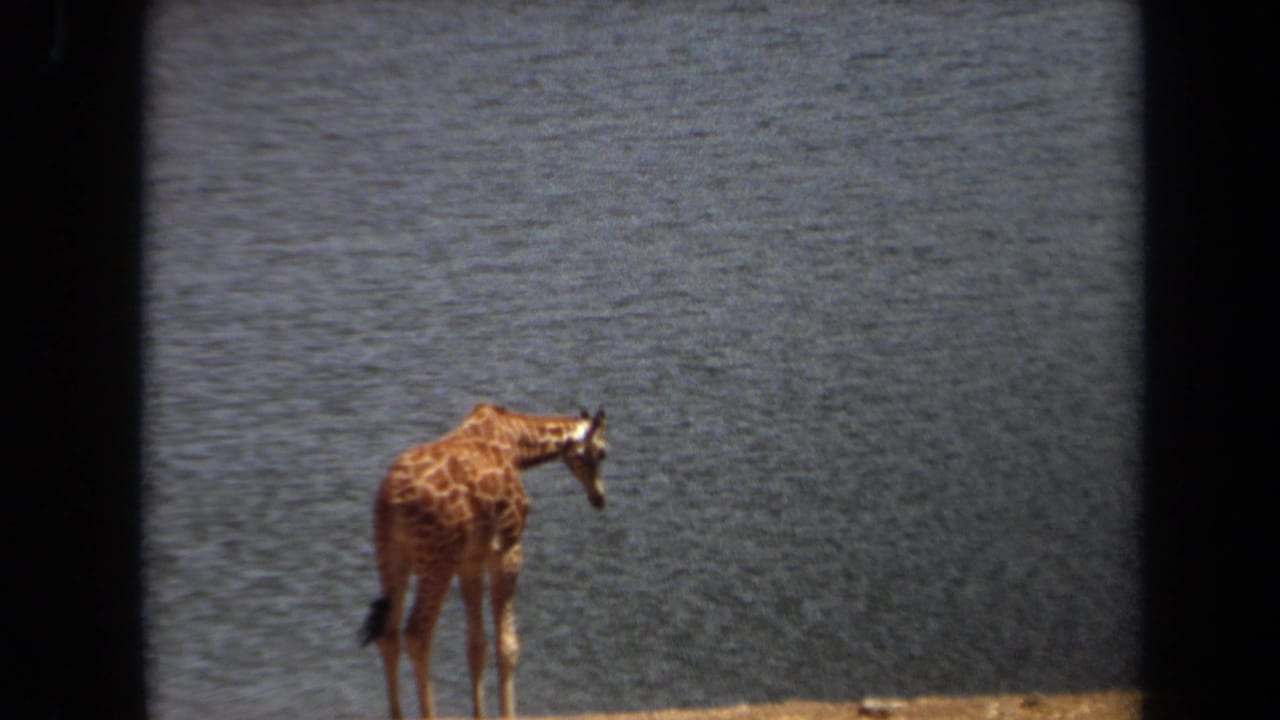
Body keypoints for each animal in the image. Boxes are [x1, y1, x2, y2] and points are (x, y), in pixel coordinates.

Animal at [360, 402, 608, 719]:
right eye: (602, 452)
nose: (599, 497)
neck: (517, 444)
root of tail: (392, 501)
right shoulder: (508, 549)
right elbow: (508, 645)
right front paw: (508, 713)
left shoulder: (471, 559)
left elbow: (477, 646)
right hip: (436, 560)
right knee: (417, 633)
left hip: (391, 555)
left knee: (387, 635)